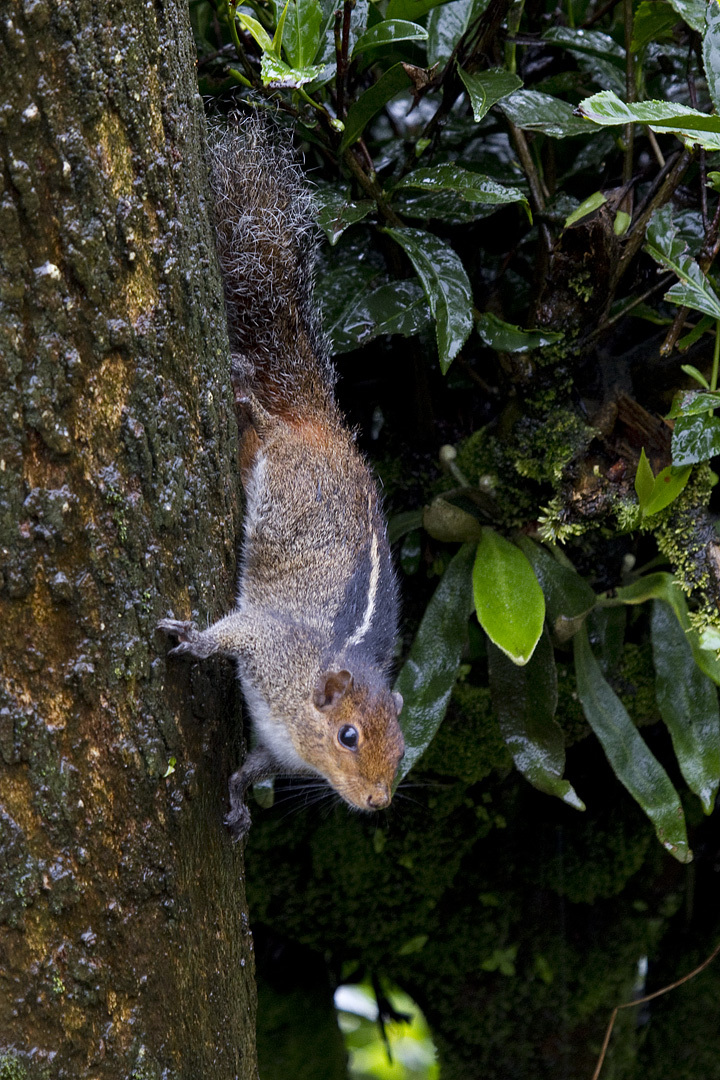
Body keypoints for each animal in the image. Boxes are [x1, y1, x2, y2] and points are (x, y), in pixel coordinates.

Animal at [158, 120, 405, 842]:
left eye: (402, 750)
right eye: (349, 736)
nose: (377, 802)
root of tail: (323, 423)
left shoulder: (274, 745)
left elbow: (250, 770)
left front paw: (240, 802)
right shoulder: (269, 641)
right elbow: (230, 633)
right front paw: (192, 639)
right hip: (282, 455)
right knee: (263, 422)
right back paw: (247, 395)